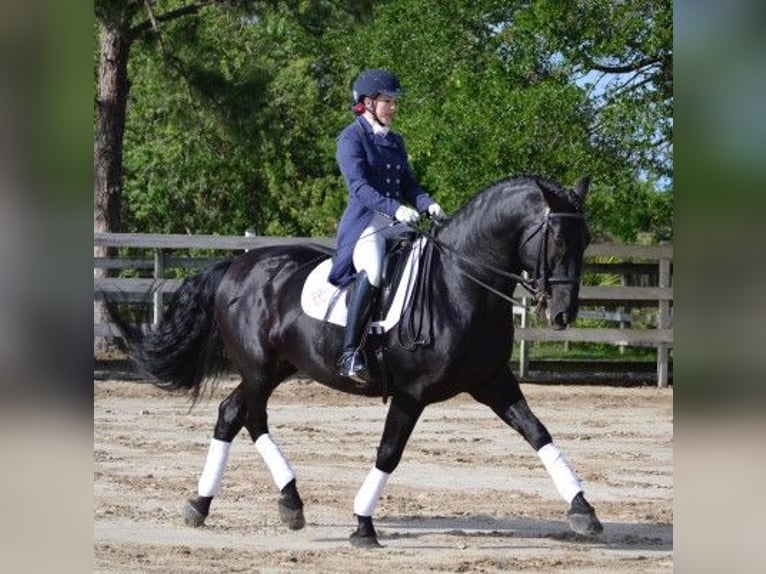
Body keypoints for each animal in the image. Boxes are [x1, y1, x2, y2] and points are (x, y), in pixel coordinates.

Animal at [107, 174, 603, 548]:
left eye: (586, 240)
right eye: (558, 239)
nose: (562, 315)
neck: (460, 285)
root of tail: (235, 266)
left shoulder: (493, 382)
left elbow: (538, 433)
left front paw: (583, 510)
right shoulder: (411, 393)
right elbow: (389, 453)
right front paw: (363, 525)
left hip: (277, 368)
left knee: (239, 415)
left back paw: (257, 503)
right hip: (259, 368)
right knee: (243, 414)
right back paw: (232, 502)